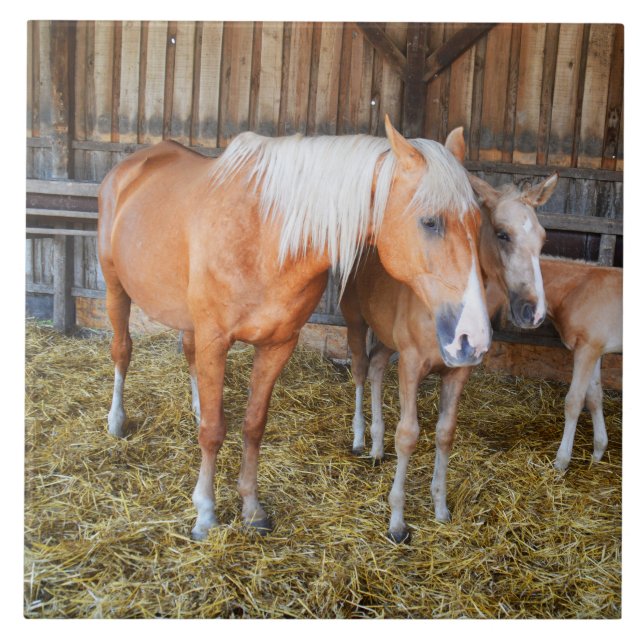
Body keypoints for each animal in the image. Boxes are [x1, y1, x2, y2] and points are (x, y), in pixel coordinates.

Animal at [97, 116, 492, 541]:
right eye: (429, 221)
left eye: (478, 223)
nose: (475, 339)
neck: (264, 236)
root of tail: (130, 166)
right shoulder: (216, 340)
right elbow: (214, 431)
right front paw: (205, 513)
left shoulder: (277, 345)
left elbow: (253, 426)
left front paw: (252, 508)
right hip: (116, 288)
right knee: (122, 350)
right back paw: (117, 421)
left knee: (188, 355)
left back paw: (196, 405)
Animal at [340, 128, 557, 542]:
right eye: (502, 234)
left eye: (543, 239)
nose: (533, 312)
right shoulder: (411, 363)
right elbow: (408, 434)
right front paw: (397, 522)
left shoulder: (458, 371)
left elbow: (444, 433)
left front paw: (440, 508)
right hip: (356, 323)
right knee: (360, 372)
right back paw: (360, 440)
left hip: (387, 340)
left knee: (375, 370)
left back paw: (376, 446)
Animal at [534, 257, 622, 471]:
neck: (576, 291)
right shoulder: (595, 350)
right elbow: (594, 397)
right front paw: (598, 451)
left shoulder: (587, 349)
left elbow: (574, 401)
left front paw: (561, 461)